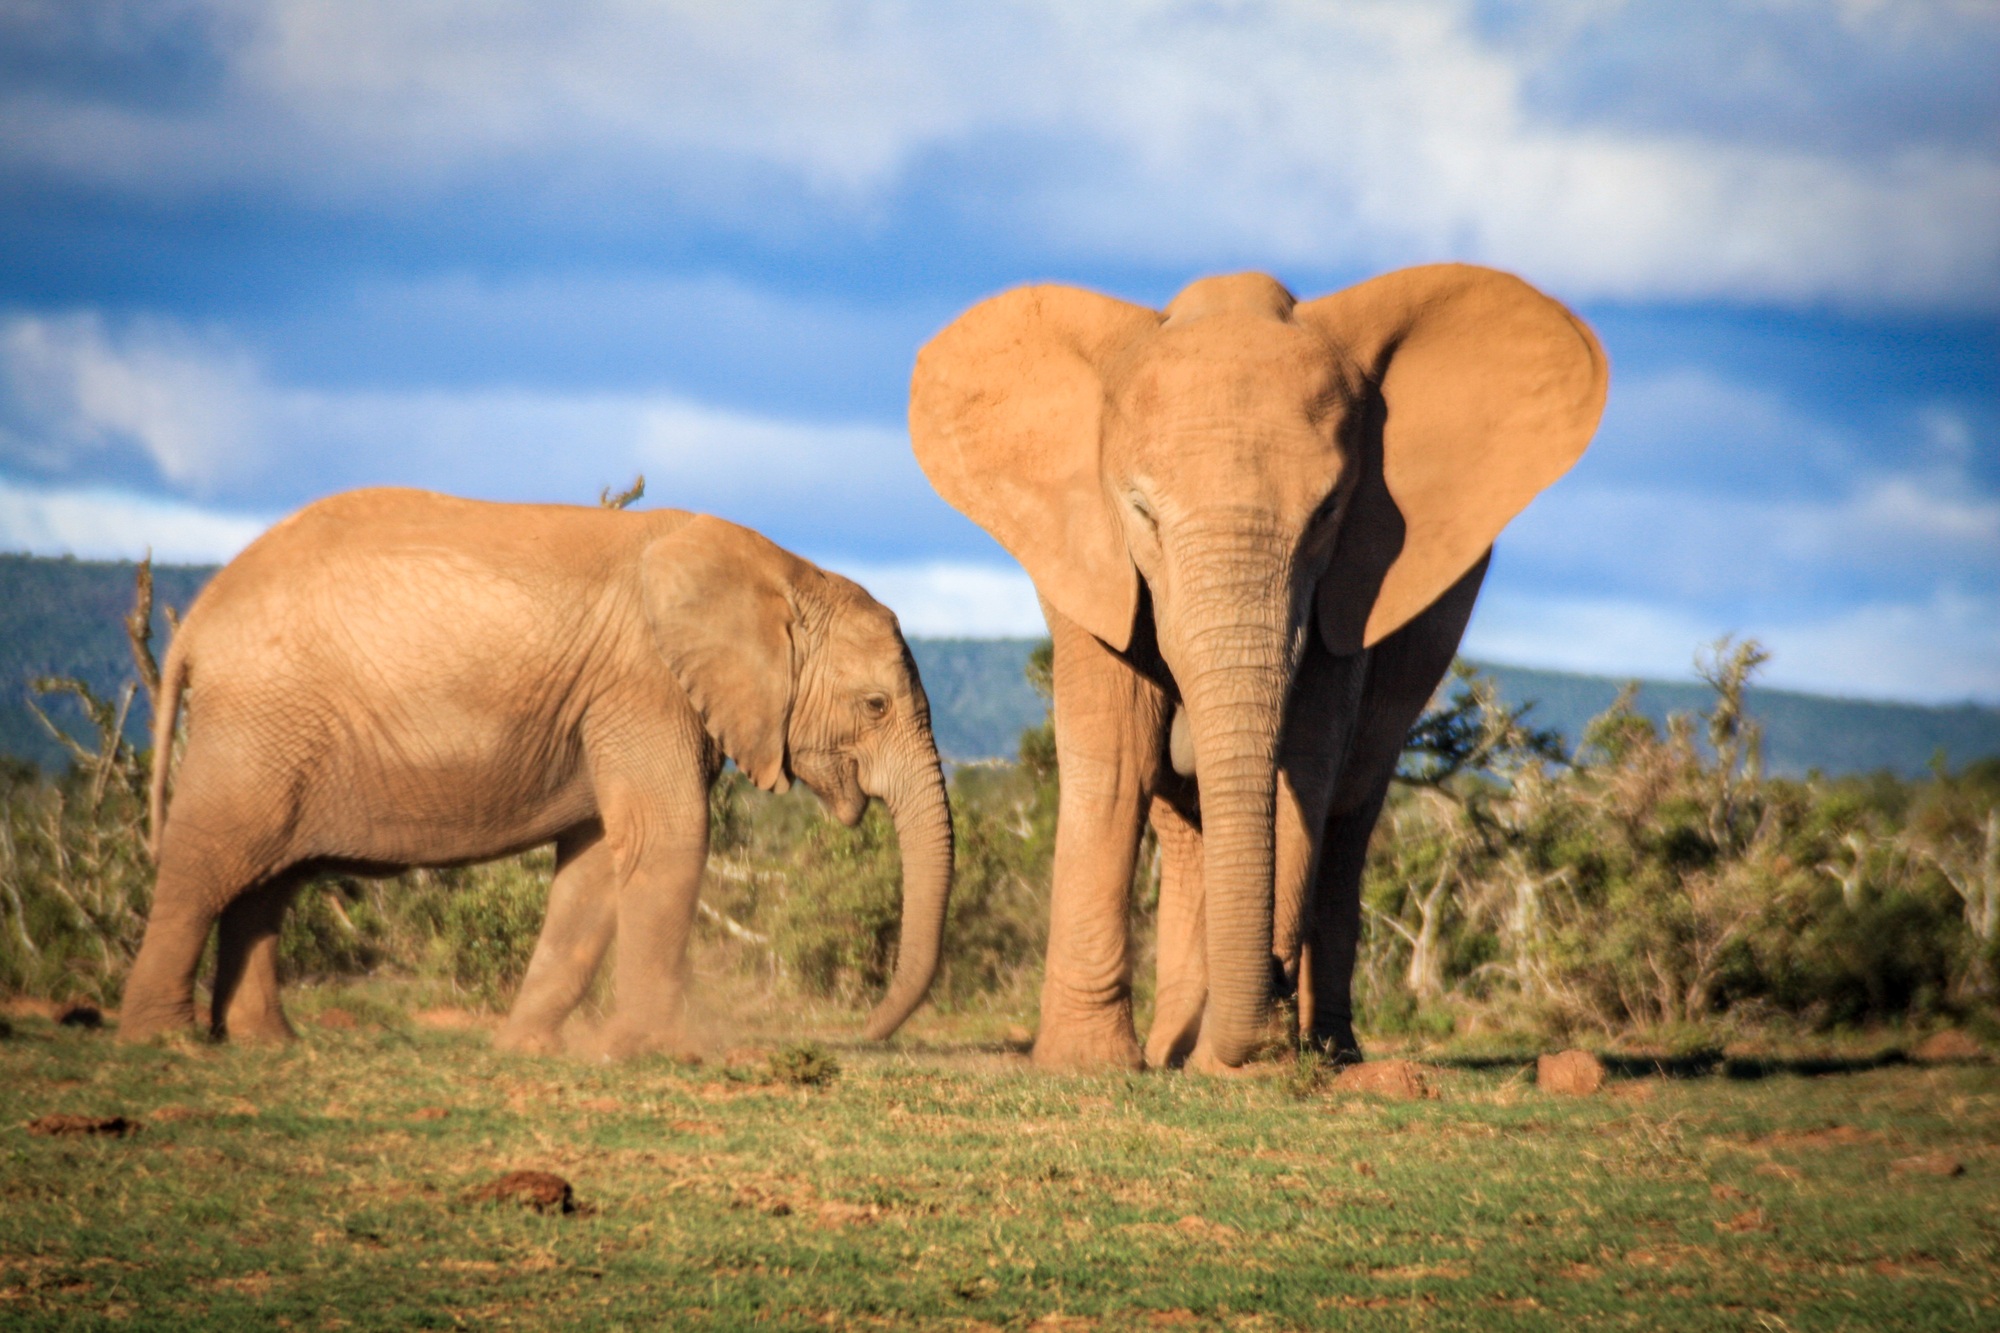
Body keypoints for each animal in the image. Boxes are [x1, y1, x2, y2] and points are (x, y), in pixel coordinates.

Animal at [118, 487, 954, 1055]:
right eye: (876, 704)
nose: (862, 1033)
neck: (783, 570)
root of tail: (201, 612)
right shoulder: (642, 685)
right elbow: (670, 838)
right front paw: (658, 1050)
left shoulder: (615, 703)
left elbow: (595, 864)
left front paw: (530, 1048)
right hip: (260, 722)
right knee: (211, 861)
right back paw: (164, 1039)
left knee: (266, 883)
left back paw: (268, 1041)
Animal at [911, 263, 1605, 1071]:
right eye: (1141, 510)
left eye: (1329, 510)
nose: (1263, 999)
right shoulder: (1084, 557)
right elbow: (1115, 756)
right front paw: (1086, 1064)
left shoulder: (1355, 580)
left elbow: (1306, 761)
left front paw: (1232, 1064)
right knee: (1185, 812)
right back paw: (1175, 1045)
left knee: (1351, 803)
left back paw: (1325, 1050)